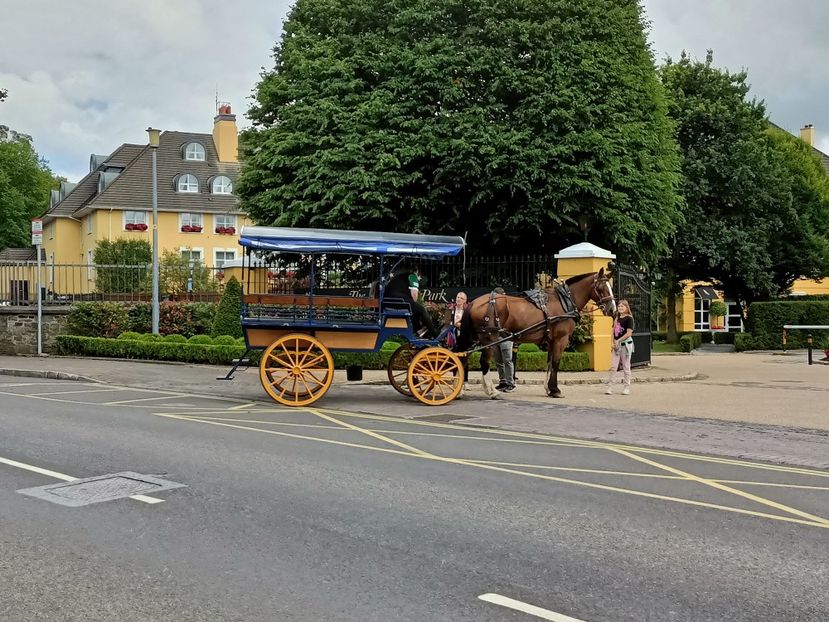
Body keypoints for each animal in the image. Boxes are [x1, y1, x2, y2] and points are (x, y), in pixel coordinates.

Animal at [452, 270, 616, 398]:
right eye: (601, 288)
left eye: (611, 287)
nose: (613, 310)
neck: (564, 302)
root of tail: (474, 302)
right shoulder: (561, 339)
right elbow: (556, 363)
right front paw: (555, 390)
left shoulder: (551, 340)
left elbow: (549, 362)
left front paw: (548, 388)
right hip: (488, 338)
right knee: (483, 361)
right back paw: (491, 391)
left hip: (474, 337)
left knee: (461, 356)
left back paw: (459, 389)